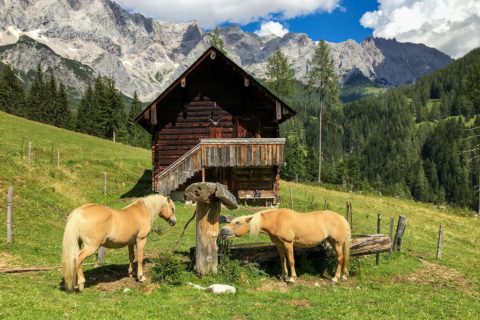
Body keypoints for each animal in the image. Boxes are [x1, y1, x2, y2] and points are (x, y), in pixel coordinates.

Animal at [219, 209, 350, 284]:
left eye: (238, 223)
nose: (222, 231)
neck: (277, 220)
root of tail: (342, 218)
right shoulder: (279, 245)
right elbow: (283, 260)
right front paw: (283, 277)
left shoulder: (288, 243)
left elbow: (291, 260)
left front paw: (292, 279)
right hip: (333, 242)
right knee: (343, 258)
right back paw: (343, 277)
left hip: (337, 243)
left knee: (340, 258)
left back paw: (335, 278)